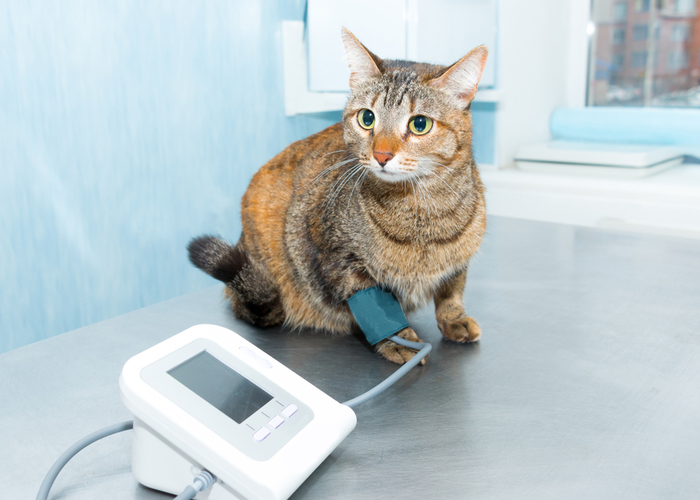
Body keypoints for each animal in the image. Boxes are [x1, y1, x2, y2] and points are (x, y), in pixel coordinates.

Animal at [189, 28, 490, 364]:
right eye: (367, 118)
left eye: (420, 124)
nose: (381, 155)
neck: (421, 213)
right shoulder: (339, 258)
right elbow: (378, 307)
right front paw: (400, 339)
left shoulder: (459, 261)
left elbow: (452, 291)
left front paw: (453, 319)